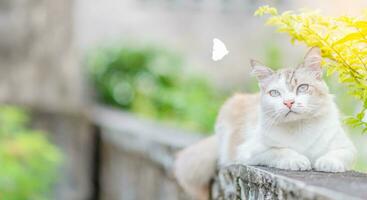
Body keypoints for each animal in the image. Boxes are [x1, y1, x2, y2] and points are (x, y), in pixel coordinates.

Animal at [174, 47, 358, 200]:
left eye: (302, 88)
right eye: (275, 93)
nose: (288, 102)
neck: (299, 127)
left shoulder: (347, 147)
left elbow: (337, 153)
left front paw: (328, 162)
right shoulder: (250, 151)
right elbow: (281, 151)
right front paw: (297, 160)